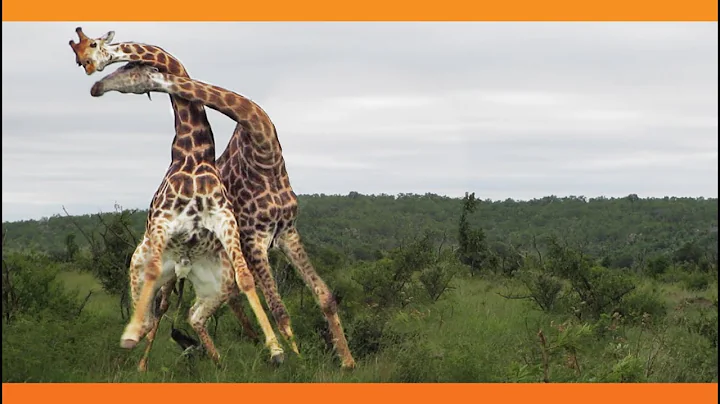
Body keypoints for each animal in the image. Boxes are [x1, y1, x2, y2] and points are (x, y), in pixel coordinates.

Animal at [69, 28, 286, 367]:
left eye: (129, 67)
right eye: (80, 57)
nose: (94, 84)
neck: (194, 158)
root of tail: (185, 266)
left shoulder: (224, 220)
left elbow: (247, 278)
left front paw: (276, 350)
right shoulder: (163, 223)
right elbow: (153, 283)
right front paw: (130, 338)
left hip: (214, 286)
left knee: (192, 314)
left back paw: (213, 359)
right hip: (142, 268)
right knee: (151, 313)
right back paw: (140, 349)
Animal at [90, 62, 357, 369]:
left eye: (129, 71)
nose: (96, 86)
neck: (265, 153)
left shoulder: (287, 232)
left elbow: (324, 296)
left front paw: (347, 362)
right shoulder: (253, 238)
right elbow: (279, 309)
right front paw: (299, 362)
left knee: (207, 306)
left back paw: (225, 352)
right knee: (163, 306)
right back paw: (145, 362)